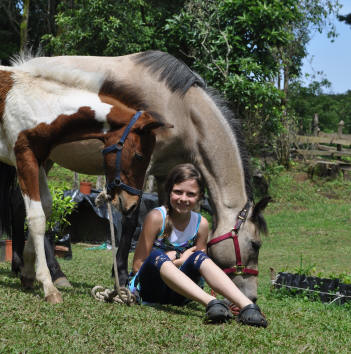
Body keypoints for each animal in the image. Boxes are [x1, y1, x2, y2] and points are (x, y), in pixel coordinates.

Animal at [0, 61, 166, 304]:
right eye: (139, 156)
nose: (132, 204)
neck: (40, 104)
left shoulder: (38, 161)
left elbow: (46, 207)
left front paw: (29, 274)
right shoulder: (24, 157)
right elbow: (37, 217)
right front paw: (49, 286)